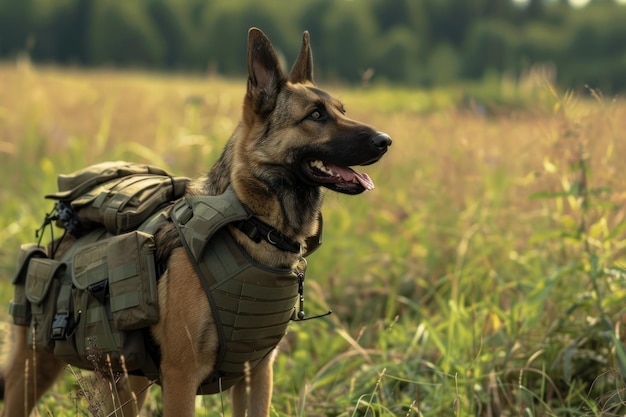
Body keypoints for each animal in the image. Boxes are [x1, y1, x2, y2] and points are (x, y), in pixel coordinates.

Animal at [0, 27, 390, 414]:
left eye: (341, 110)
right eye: (316, 115)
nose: (386, 140)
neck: (255, 227)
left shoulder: (257, 374)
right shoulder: (181, 377)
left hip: (127, 385)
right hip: (34, 370)